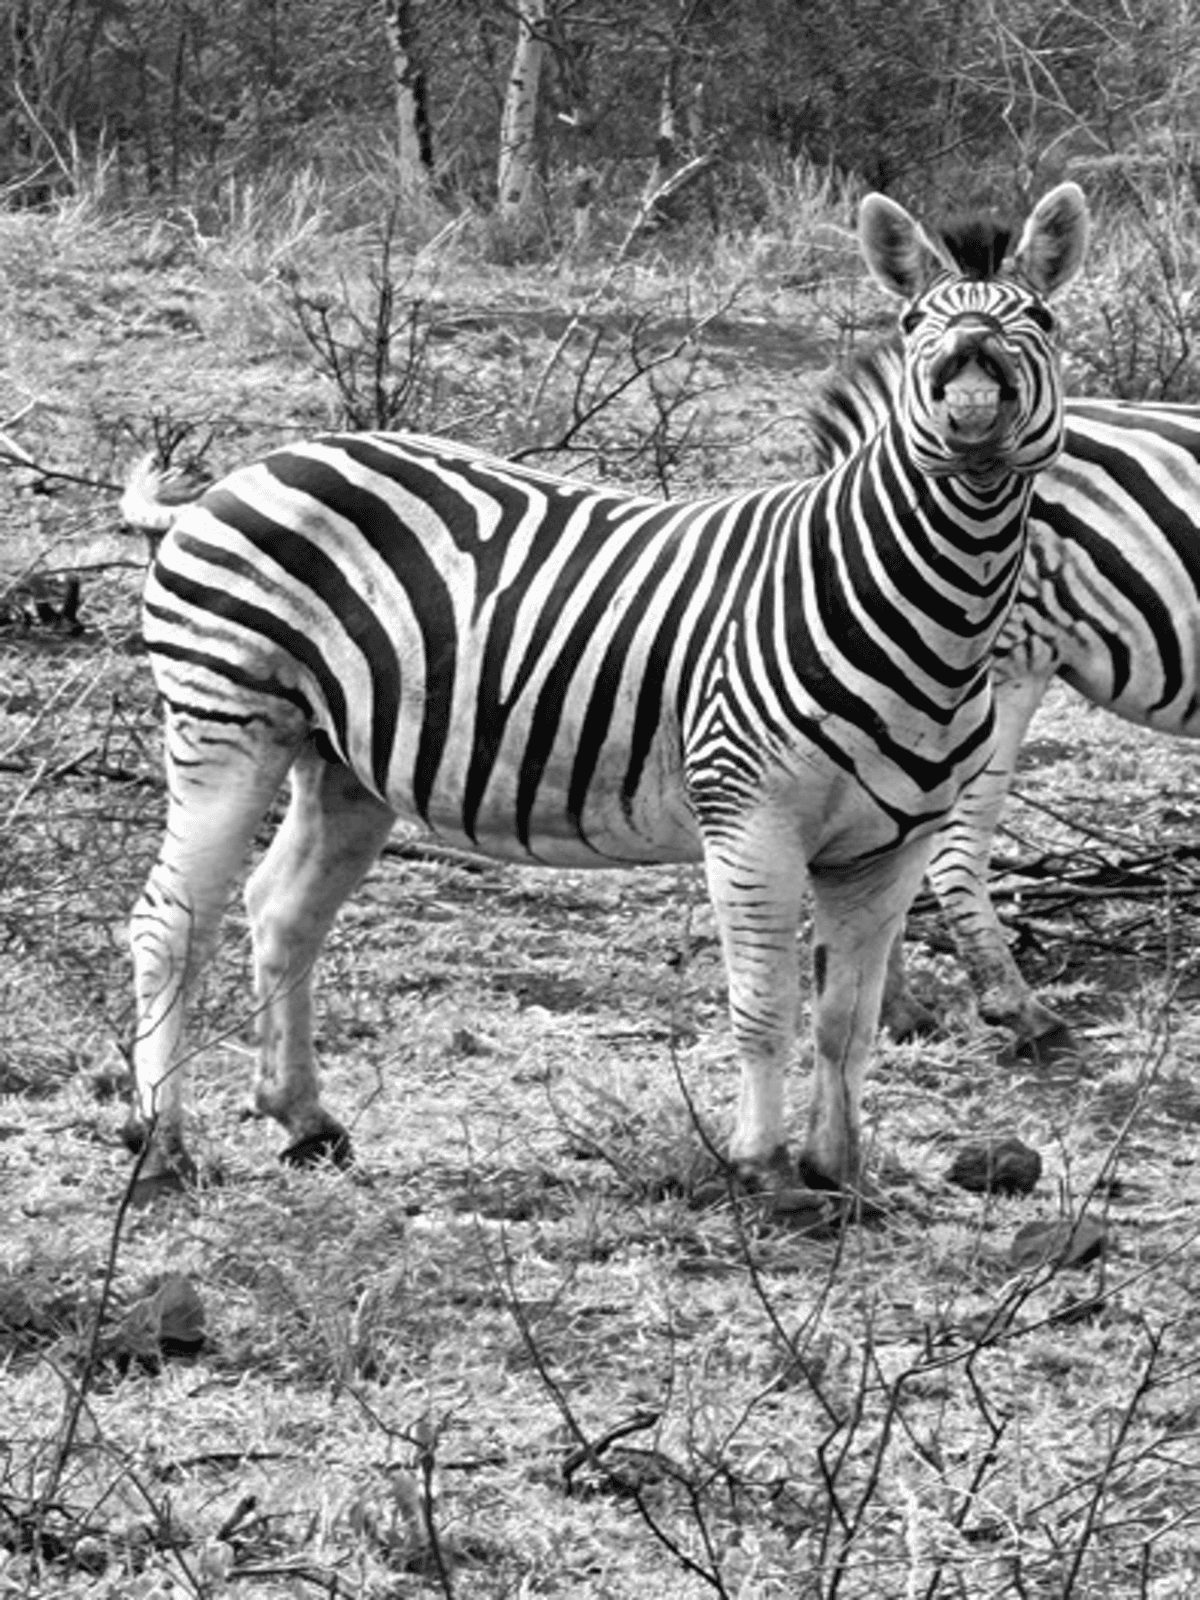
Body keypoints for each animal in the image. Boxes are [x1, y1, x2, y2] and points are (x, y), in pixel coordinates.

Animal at [122, 184, 1088, 1202]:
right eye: (913, 325)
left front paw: (841, 1175)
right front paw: (765, 1173)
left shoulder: (887, 852)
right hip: (226, 722)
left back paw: (303, 1119)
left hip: (341, 759)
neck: (925, 611)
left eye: (1040, 320)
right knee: (171, 922)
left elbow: (846, 1026)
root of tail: (247, 472)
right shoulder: (750, 822)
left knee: (285, 911)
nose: (969, 381)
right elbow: (767, 1010)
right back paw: (160, 1145)